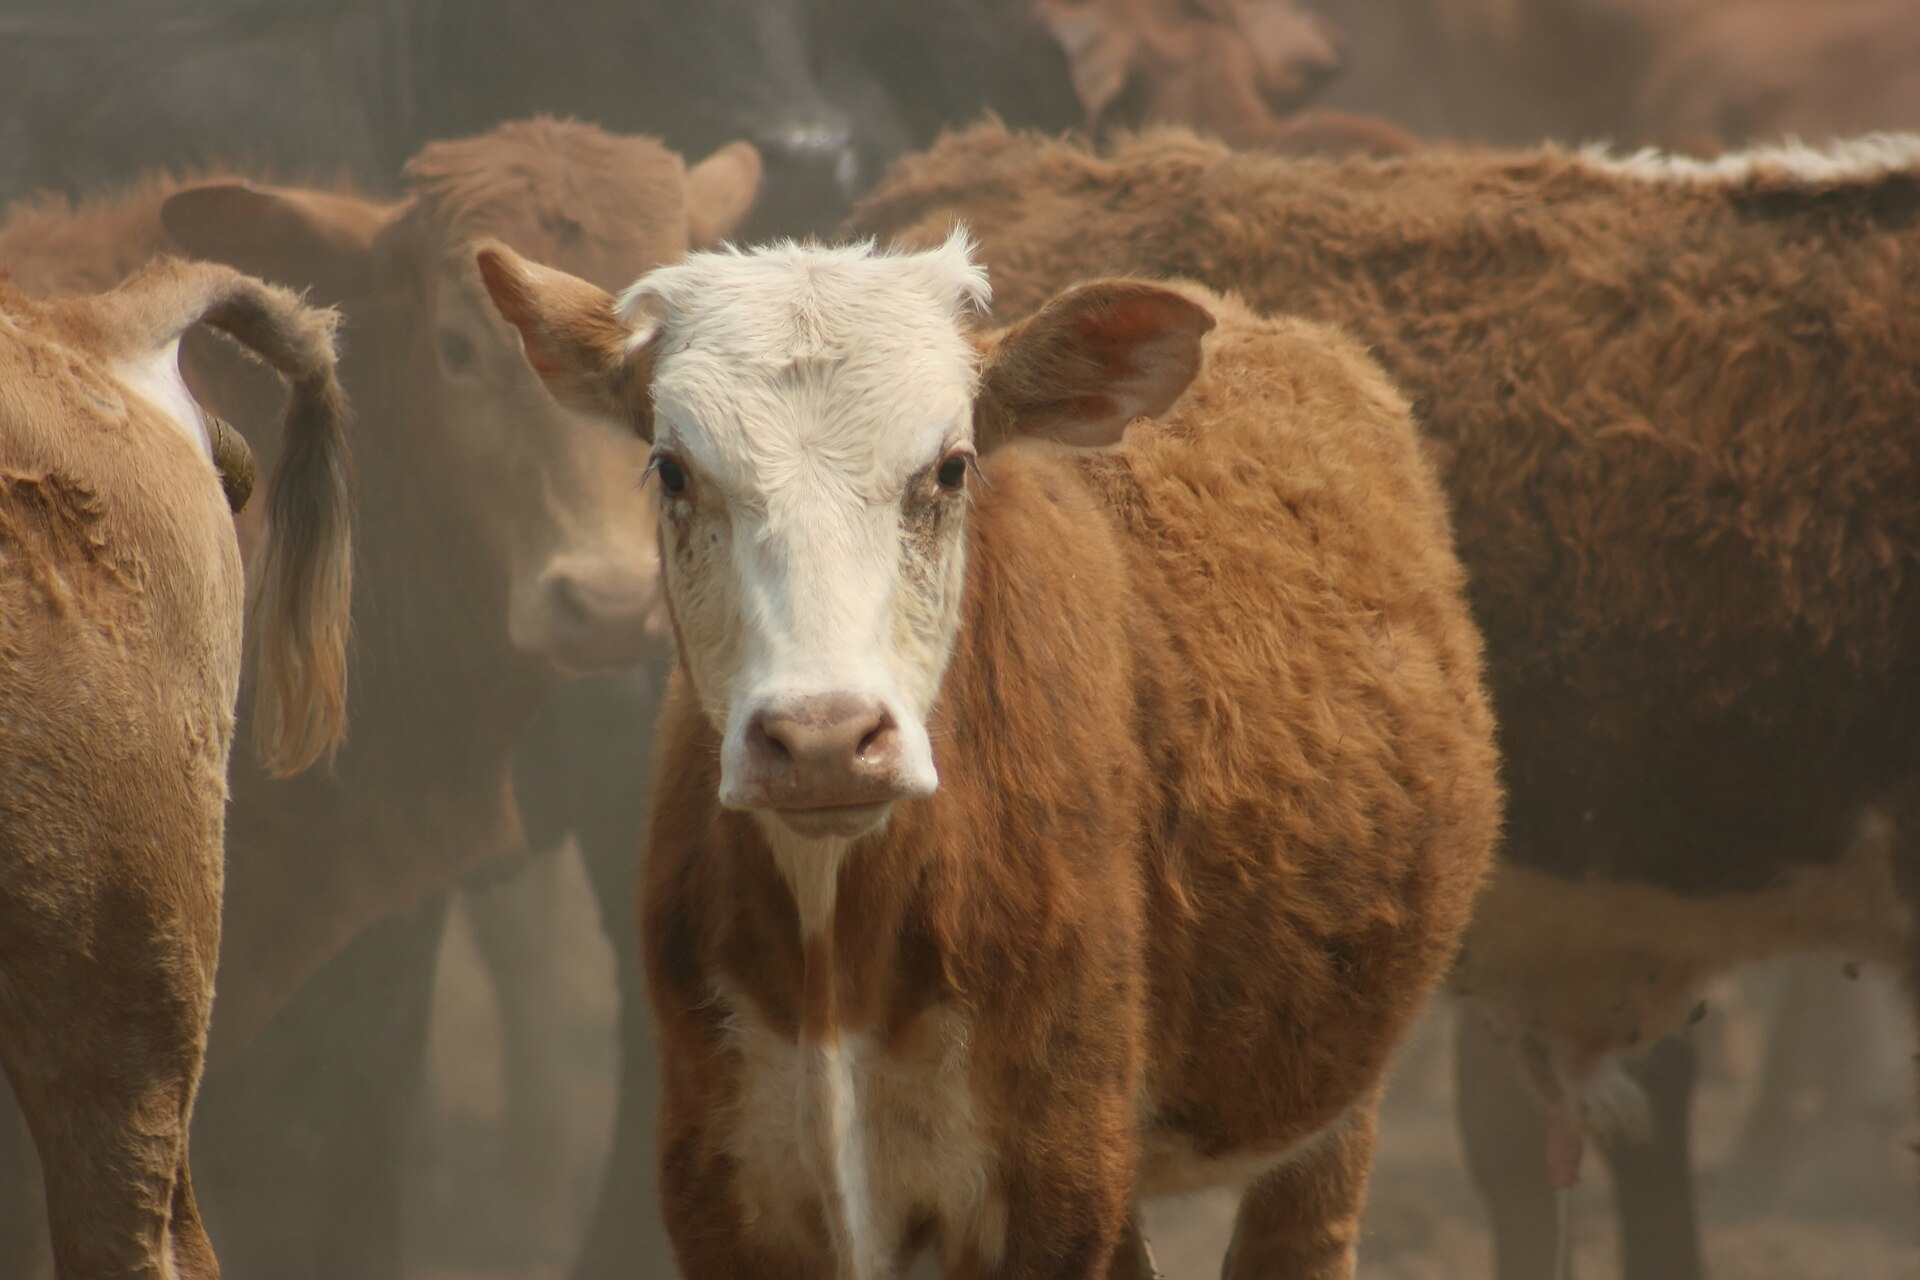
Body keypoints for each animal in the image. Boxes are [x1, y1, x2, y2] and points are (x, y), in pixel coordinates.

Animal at [476, 232, 1500, 1278]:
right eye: (673, 471)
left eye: (952, 468)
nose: (824, 740)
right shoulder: (717, 1175)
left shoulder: (1058, 1172)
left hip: (1328, 1101)